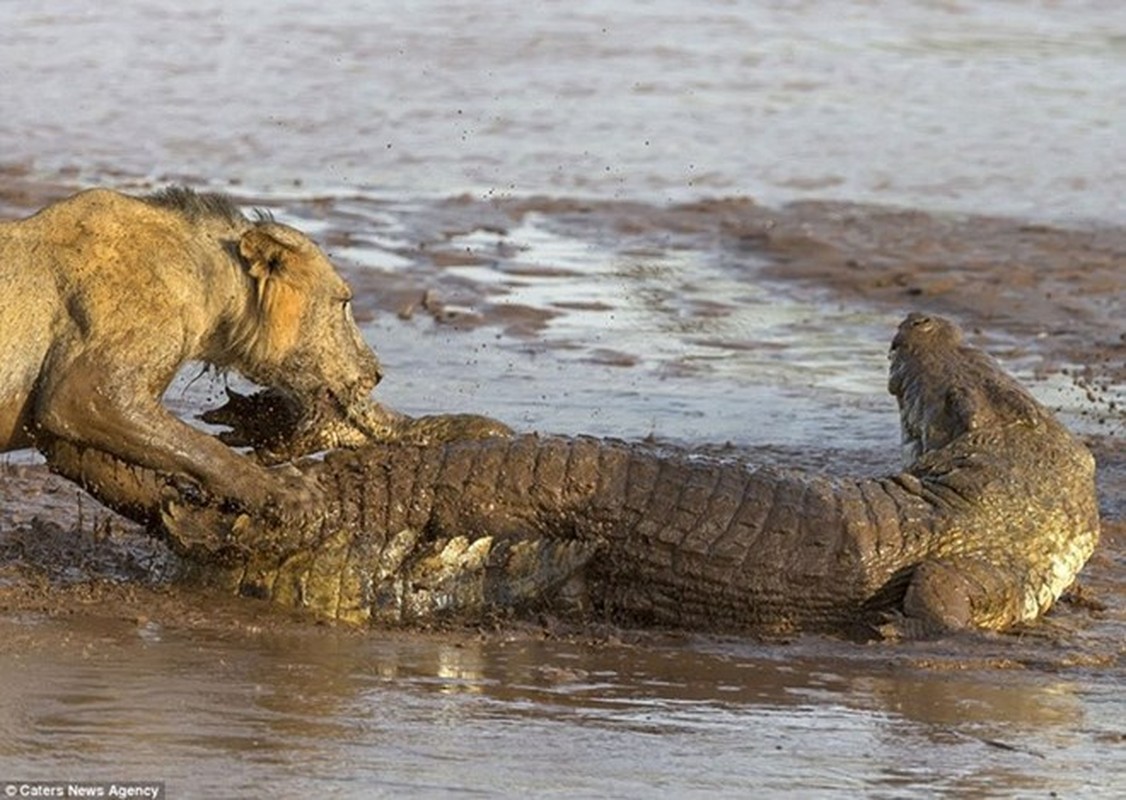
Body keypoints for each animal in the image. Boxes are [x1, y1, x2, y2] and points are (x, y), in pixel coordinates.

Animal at [0, 185, 382, 513]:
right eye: (344, 302)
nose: (376, 373)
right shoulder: (81, 392)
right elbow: (204, 447)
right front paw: (285, 490)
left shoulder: (53, 429)